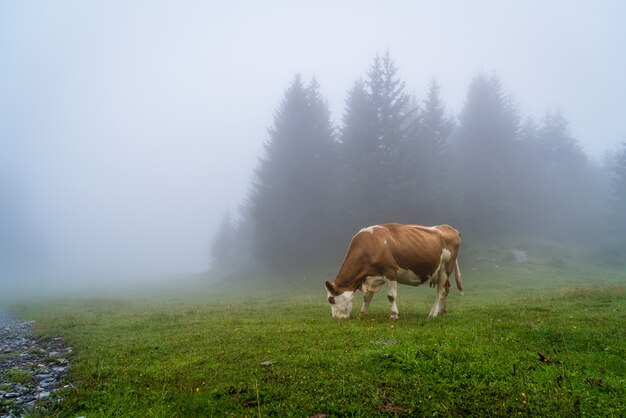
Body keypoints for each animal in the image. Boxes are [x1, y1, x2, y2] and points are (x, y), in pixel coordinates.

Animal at [324, 224, 460, 318]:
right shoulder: (370, 277)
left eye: (331, 300)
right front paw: (363, 313)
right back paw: (442, 311)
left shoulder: (390, 272)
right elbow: (367, 297)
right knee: (446, 288)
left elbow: (391, 296)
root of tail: (447, 227)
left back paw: (433, 313)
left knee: (440, 291)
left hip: (445, 267)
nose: (336, 318)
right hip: (439, 272)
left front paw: (394, 314)